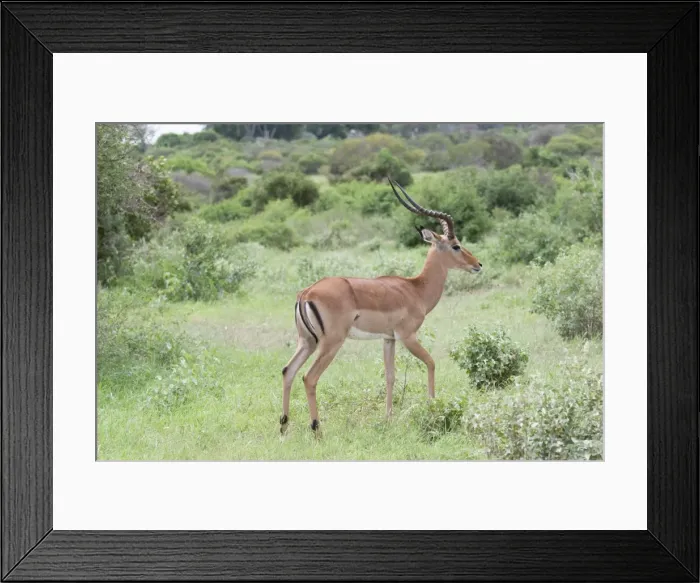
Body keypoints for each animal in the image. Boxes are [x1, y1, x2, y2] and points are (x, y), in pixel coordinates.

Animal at [280, 177, 482, 433]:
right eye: (456, 245)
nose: (478, 264)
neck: (415, 289)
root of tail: (306, 293)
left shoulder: (388, 339)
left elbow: (390, 375)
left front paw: (388, 418)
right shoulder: (408, 336)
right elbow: (431, 362)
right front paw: (432, 407)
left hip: (307, 341)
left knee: (288, 371)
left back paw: (283, 428)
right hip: (330, 343)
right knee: (309, 377)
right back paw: (317, 430)